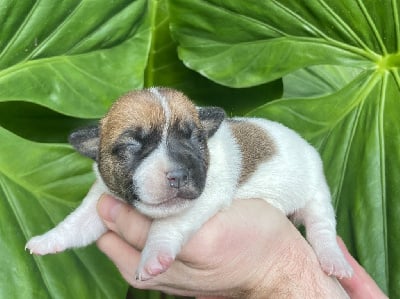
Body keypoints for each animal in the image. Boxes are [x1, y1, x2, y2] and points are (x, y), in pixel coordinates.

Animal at [25, 86, 352, 282]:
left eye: (194, 139)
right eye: (133, 145)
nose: (180, 175)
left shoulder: (204, 197)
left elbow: (167, 225)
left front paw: (153, 256)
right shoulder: (100, 200)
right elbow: (75, 225)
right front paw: (47, 240)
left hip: (317, 192)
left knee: (322, 228)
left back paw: (333, 260)